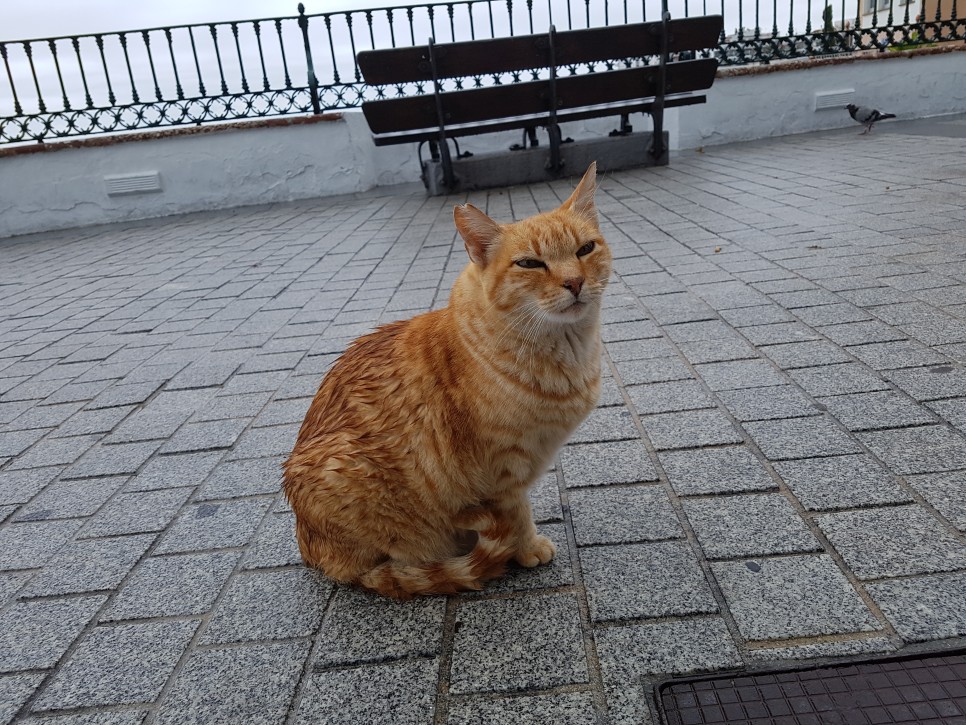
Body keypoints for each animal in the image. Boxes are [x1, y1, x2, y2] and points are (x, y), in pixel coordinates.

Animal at [282, 161, 612, 596]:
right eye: (530, 264)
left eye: (585, 249)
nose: (574, 282)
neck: (565, 352)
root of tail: (313, 554)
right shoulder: (502, 471)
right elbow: (516, 514)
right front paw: (526, 548)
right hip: (345, 470)